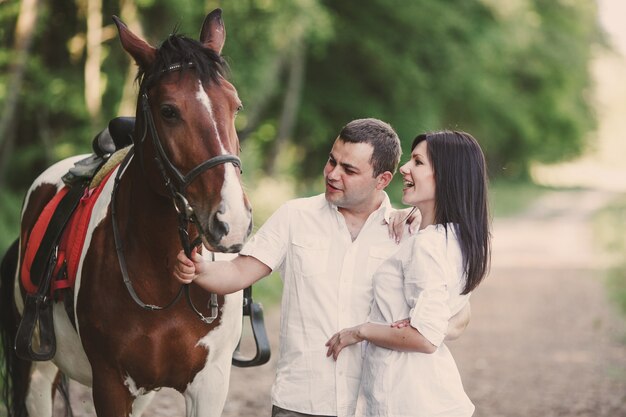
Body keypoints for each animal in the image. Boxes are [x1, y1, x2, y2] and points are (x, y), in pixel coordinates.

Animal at [0, 8, 254, 414]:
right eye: (168, 111)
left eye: (235, 106)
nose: (231, 221)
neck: (164, 277)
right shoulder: (111, 385)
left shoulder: (210, 384)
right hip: (37, 374)